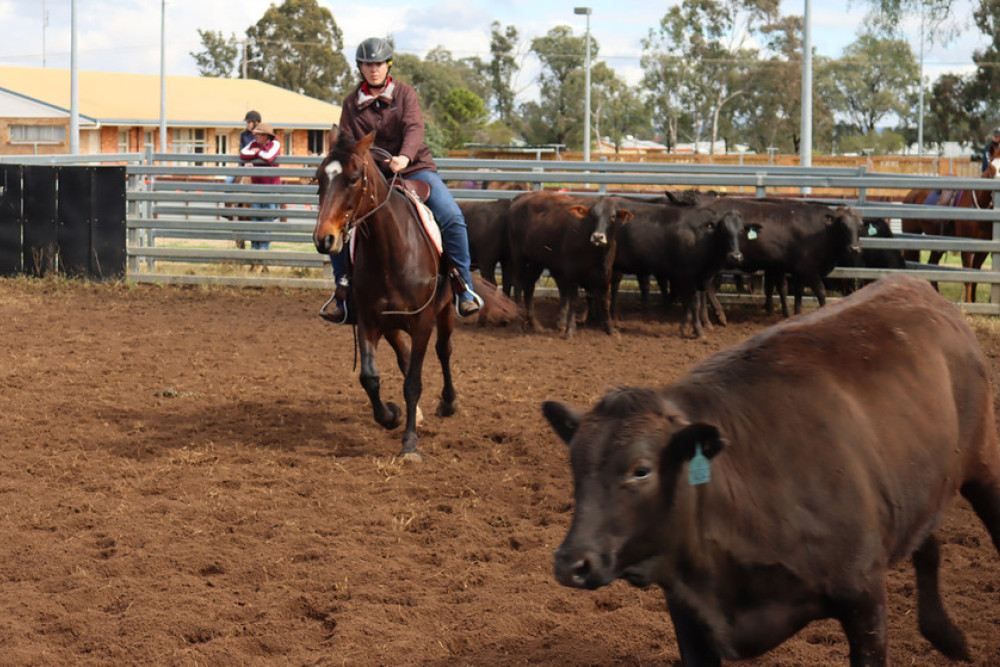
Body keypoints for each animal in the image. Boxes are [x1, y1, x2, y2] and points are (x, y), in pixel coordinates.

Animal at [312, 128, 516, 462]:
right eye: (319, 178)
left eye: (354, 178)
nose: (324, 239)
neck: (390, 250)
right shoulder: (369, 321)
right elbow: (370, 377)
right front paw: (390, 416)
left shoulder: (422, 323)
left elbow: (413, 382)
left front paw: (409, 443)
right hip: (391, 324)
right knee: (403, 356)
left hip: (444, 313)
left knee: (443, 351)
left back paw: (448, 402)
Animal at [508, 193, 632, 340]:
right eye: (592, 216)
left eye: (612, 217)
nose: (597, 237)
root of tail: (522, 197)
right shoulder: (572, 271)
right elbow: (573, 299)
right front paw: (570, 329)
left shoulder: (606, 273)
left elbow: (604, 299)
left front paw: (611, 329)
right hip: (518, 256)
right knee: (518, 285)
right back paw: (519, 325)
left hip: (536, 261)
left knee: (529, 288)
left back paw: (536, 325)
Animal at [548, 272, 1000, 667]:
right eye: (574, 464)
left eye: (641, 470)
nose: (571, 563)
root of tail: (918, 286)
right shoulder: (689, 615)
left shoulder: (865, 598)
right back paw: (946, 635)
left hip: (982, 464)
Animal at [900, 157, 1000, 302]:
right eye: (991, 169)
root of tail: (911, 194)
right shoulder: (967, 249)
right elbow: (968, 278)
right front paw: (968, 302)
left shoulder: (983, 251)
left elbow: (976, 277)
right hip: (911, 235)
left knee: (932, 264)